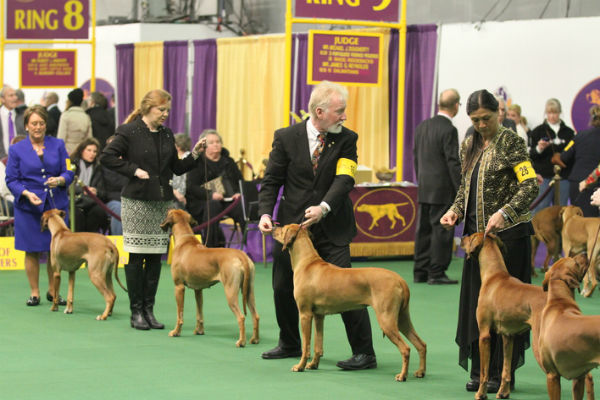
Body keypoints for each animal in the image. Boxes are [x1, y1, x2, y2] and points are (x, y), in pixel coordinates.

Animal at [159, 209, 258, 346]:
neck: (185, 239)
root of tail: (241, 255)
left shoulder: (179, 287)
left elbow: (180, 314)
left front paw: (176, 332)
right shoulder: (198, 289)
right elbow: (199, 313)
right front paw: (199, 331)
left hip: (230, 292)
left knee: (241, 317)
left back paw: (241, 342)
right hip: (249, 291)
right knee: (255, 316)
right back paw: (255, 339)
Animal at [274, 223, 426, 382]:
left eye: (282, 228)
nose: (272, 228)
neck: (307, 263)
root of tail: (400, 280)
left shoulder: (305, 314)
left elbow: (306, 346)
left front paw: (300, 366)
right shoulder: (318, 316)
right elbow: (318, 345)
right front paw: (313, 364)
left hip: (386, 320)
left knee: (405, 348)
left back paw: (402, 375)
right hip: (402, 318)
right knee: (421, 344)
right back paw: (420, 372)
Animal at [460, 233, 548, 398]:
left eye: (472, 236)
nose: (462, 237)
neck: (494, 275)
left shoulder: (484, 334)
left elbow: (484, 372)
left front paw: (481, 394)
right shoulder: (508, 336)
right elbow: (505, 371)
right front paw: (503, 393)